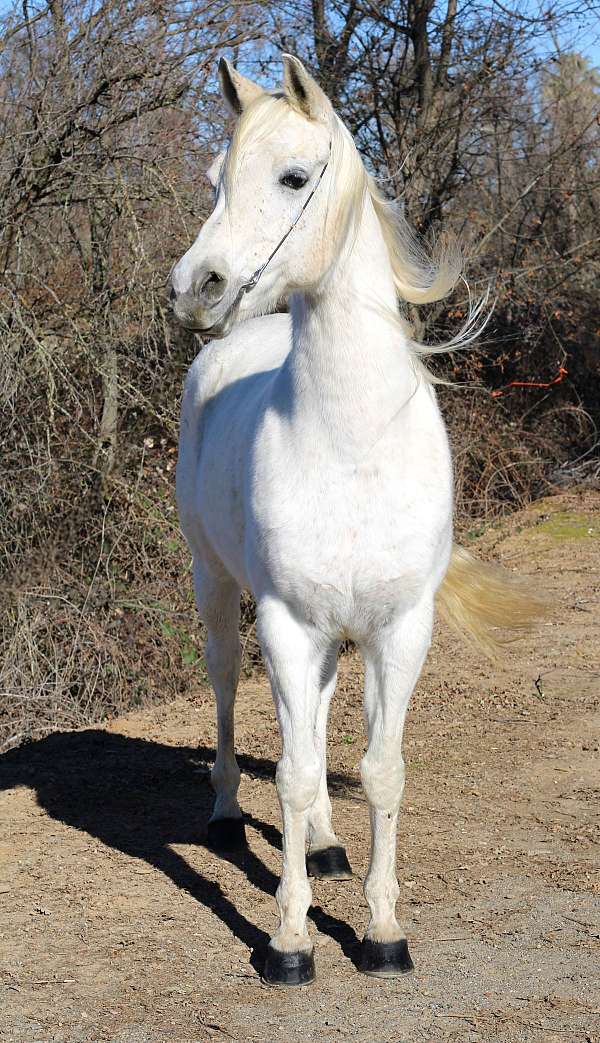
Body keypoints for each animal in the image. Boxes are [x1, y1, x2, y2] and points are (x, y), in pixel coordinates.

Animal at [170, 57, 538, 984]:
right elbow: (296, 773)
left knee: (319, 715)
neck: (349, 439)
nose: (195, 288)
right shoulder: (285, 621)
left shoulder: (396, 629)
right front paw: (290, 940)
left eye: (294, 177)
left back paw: (328, 847)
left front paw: (381, 930)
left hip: (330, 635)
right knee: (227, 687)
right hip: (216, 585)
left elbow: (380, 771)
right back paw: (225, 813)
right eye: (216, 178)